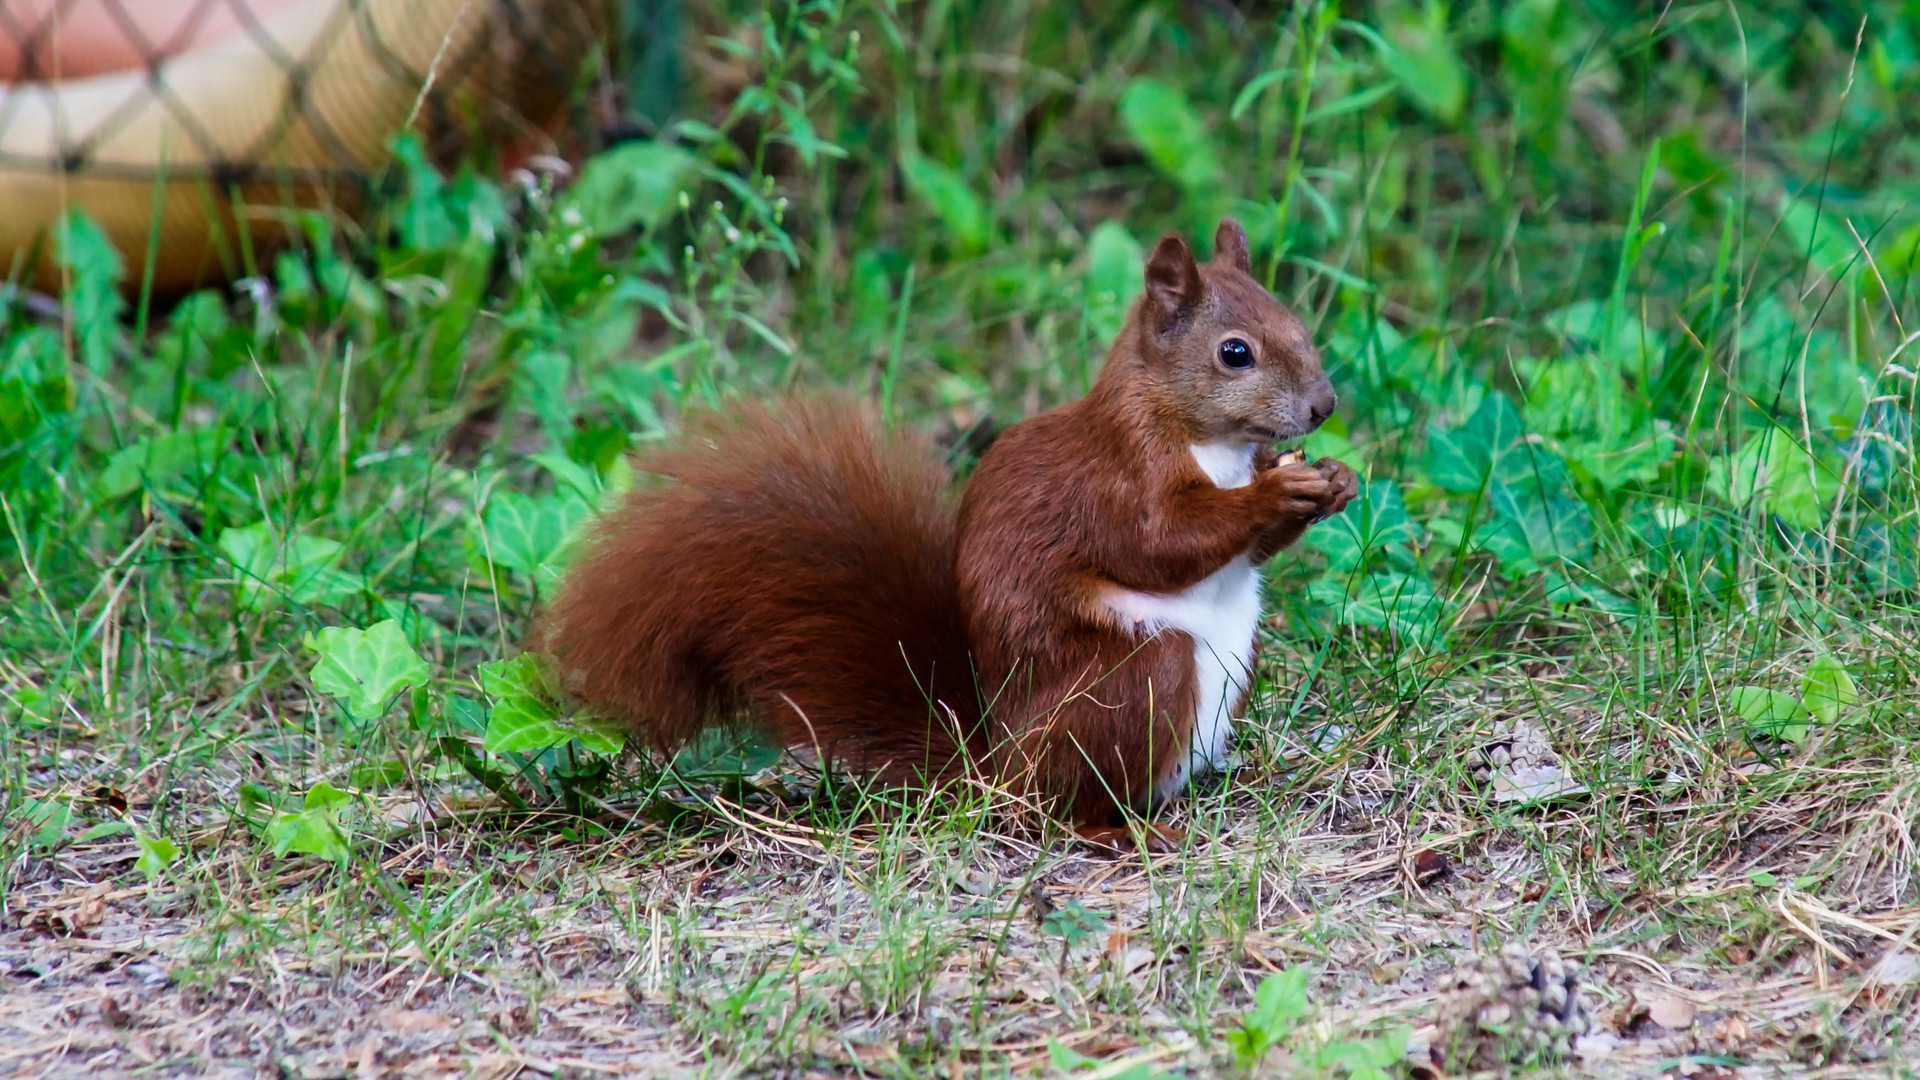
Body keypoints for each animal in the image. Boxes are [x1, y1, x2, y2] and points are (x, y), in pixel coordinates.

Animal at [537, 219, 1351, 837]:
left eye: (1298, 324)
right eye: (1235, 353)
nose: (1325, 405)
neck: (1211, 444)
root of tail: (998, 769)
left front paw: (1333, 481)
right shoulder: (1116, 482)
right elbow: (1158, 543)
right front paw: (1279, 490)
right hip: (1133, 683)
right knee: (1067, 806)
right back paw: (1119, 831)